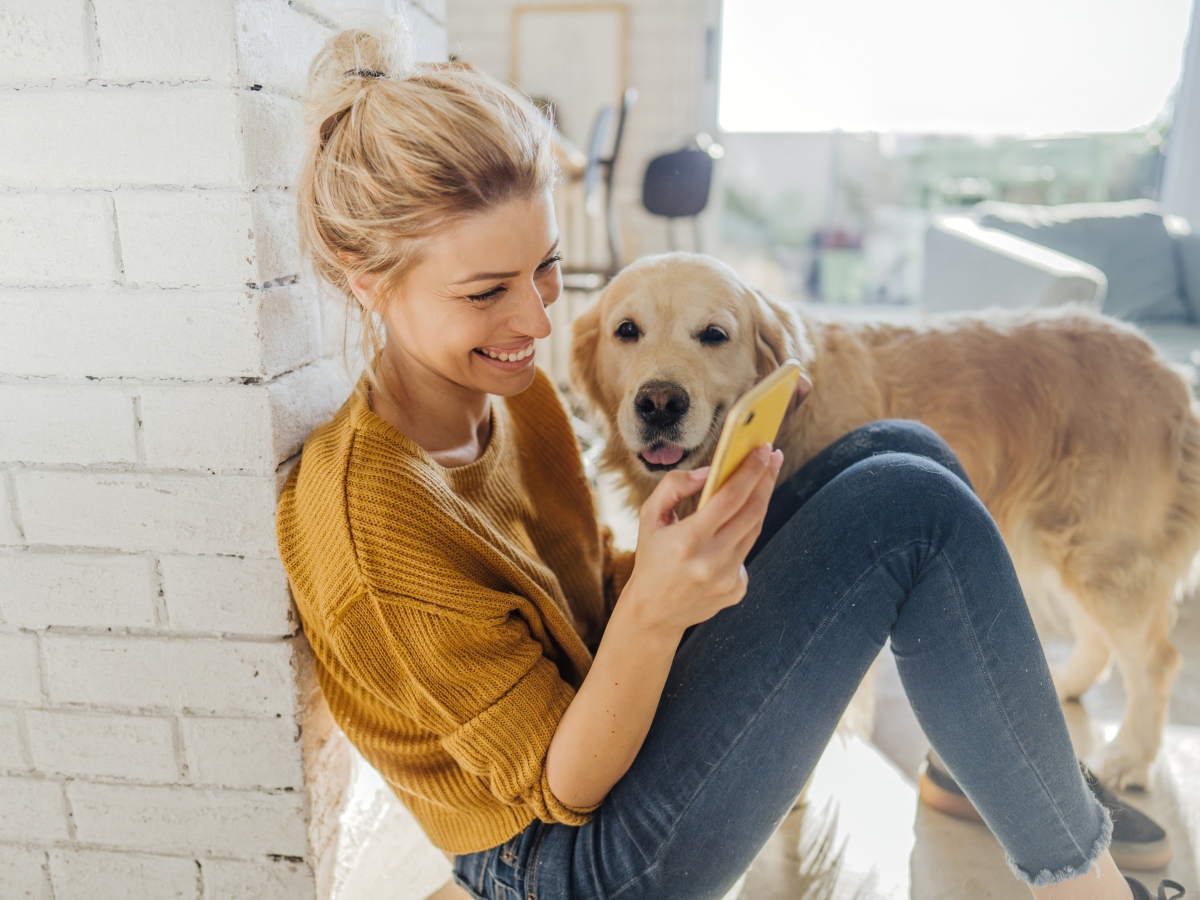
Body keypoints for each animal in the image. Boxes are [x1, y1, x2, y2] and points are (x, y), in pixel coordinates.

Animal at [568, 252, 1200, 787]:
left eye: (714, 335)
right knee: (1099, 641)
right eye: (627, 330)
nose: (659, 404)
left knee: (1156, 659)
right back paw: (1060, 687)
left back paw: (1128, 757)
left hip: (1104, 553)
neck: (790, 413)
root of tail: (1170, 371)